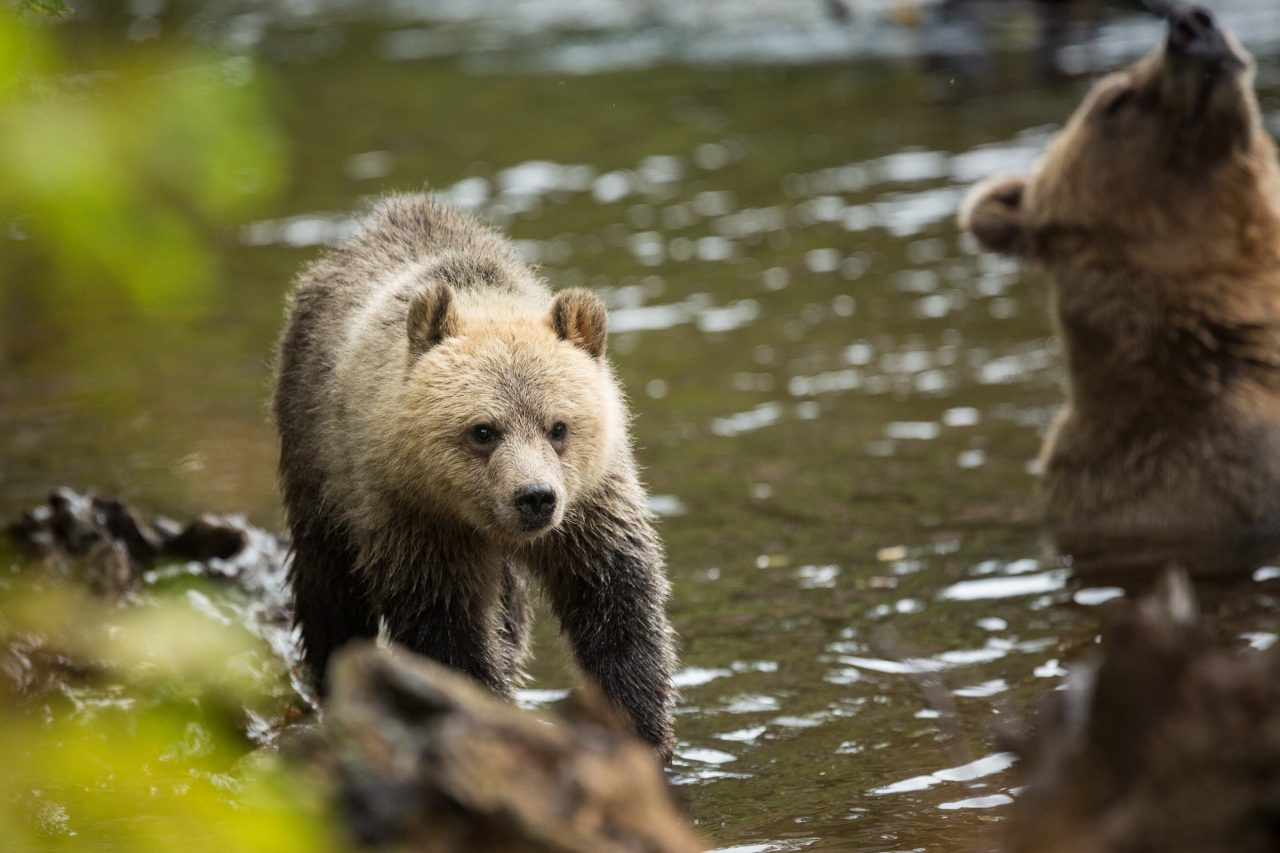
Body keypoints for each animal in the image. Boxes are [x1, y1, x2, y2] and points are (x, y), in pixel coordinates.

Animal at [272, 196, 676, 756]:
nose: (535, 497)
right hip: (316, 455)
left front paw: (641, 728)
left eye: (559, 426)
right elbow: (448, 631)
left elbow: (619, 604)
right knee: (328, 580)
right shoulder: (415, 520)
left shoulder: (591, 508)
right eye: (483, 430)